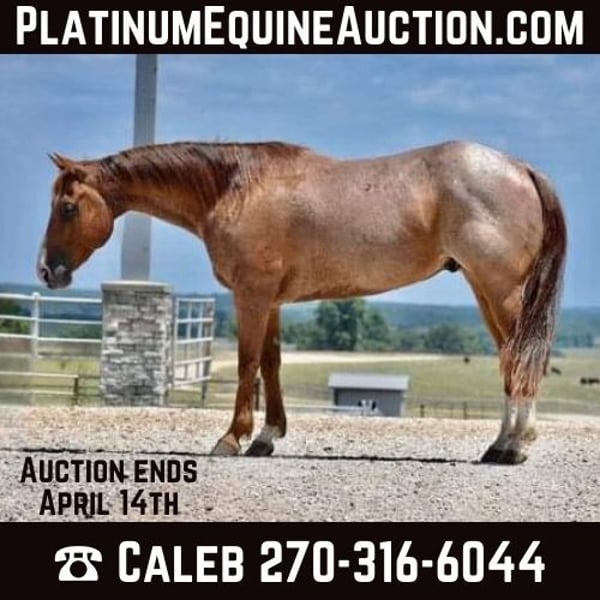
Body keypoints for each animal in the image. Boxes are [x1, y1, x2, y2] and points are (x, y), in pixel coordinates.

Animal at [37, 139, 567, 464]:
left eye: (67, 207)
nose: (47, 270)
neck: (235, 188)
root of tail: (522, 169)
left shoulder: (251, 295)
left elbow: (248, 362)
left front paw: (231, 438)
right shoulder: (269, 300)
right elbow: (270, 364)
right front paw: (267, 437)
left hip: (500, 289)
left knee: (520, 360)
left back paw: (515, 447)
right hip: (486, 289)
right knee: (510, 359)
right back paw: (500, 445)